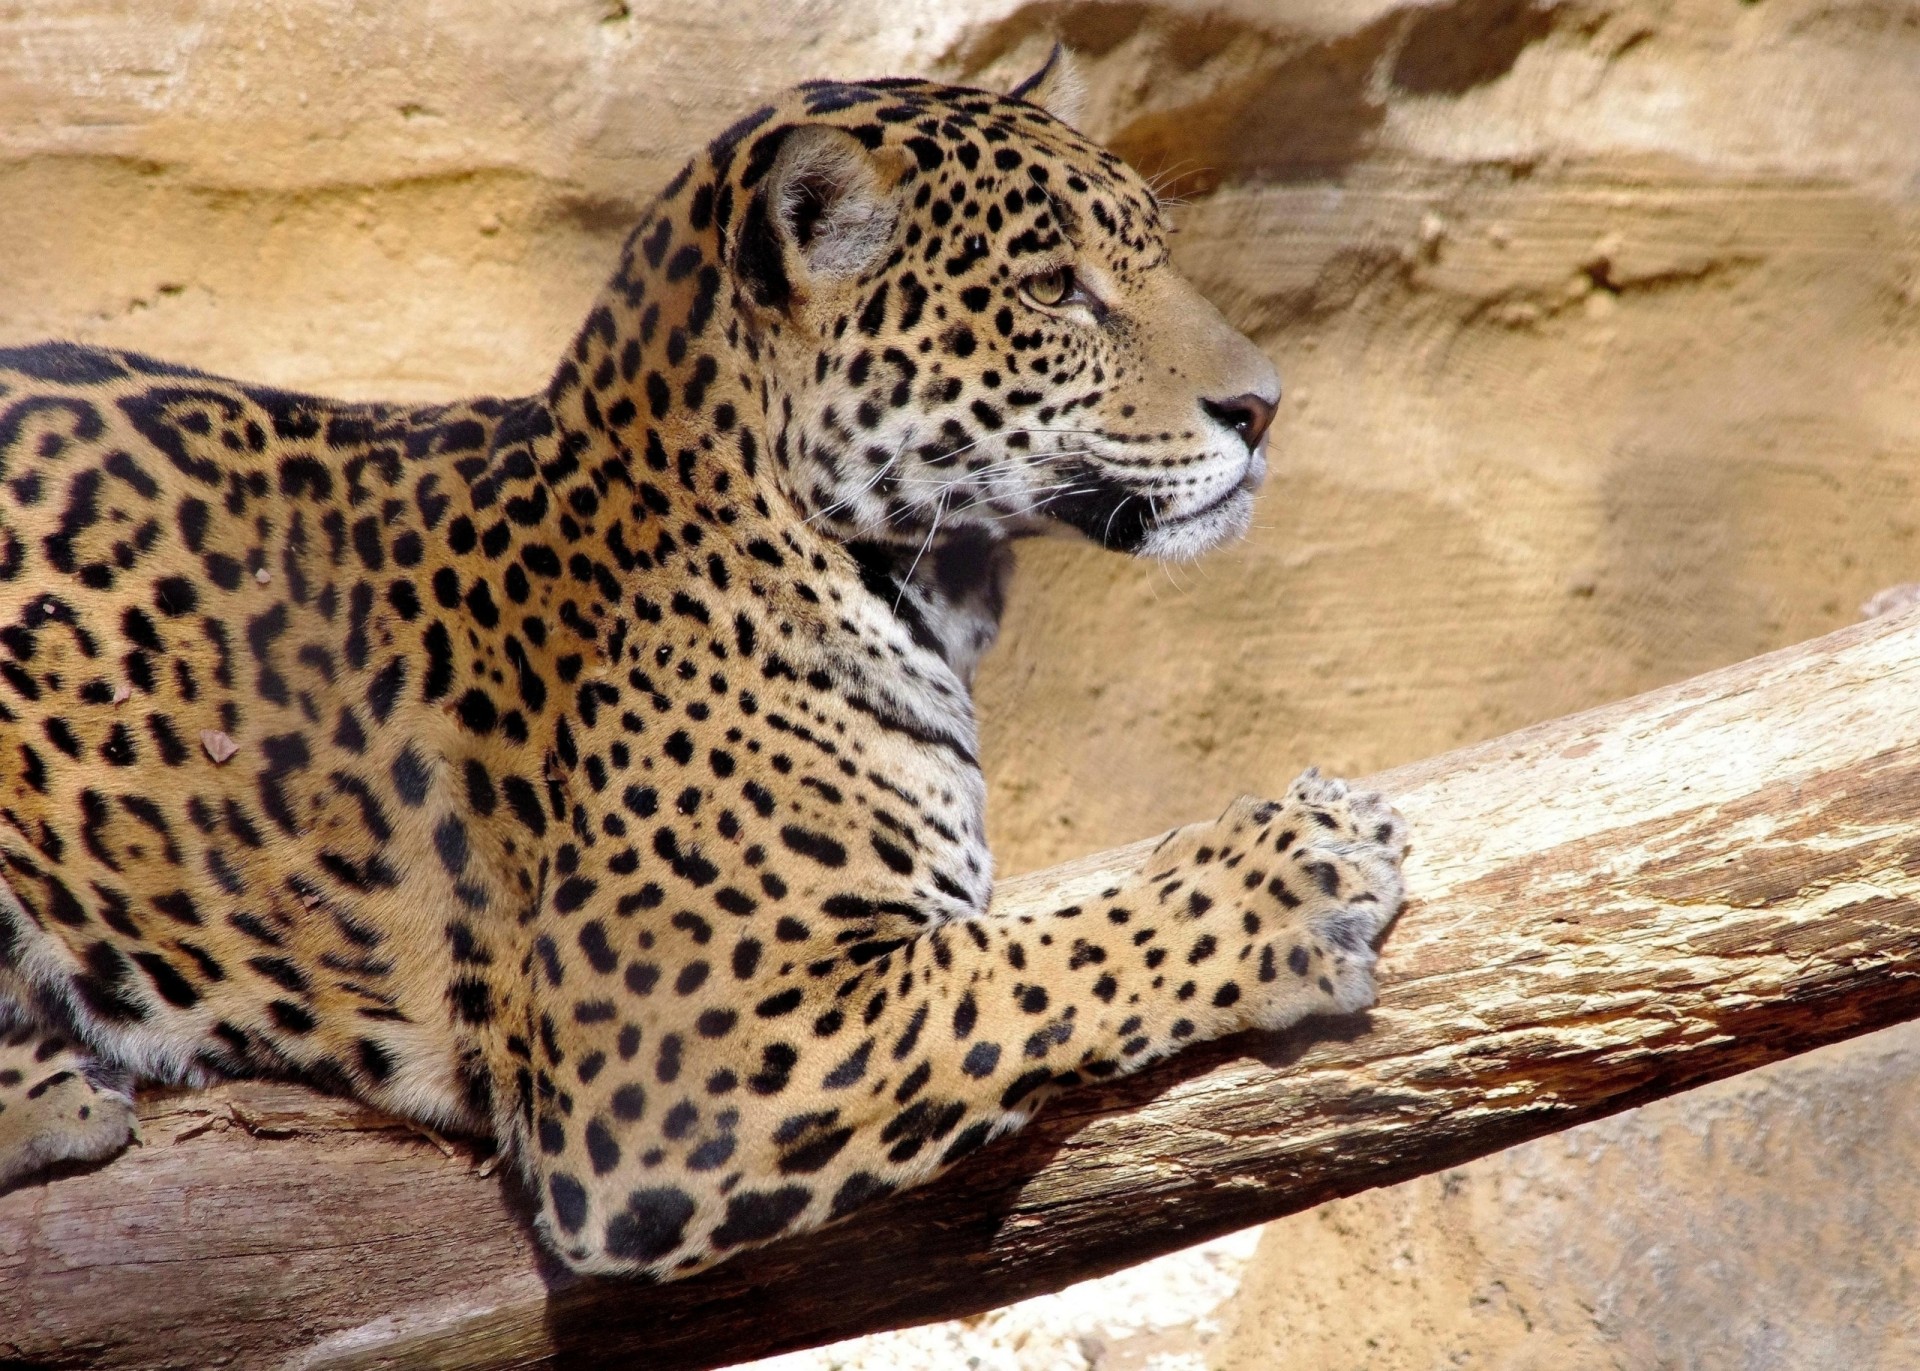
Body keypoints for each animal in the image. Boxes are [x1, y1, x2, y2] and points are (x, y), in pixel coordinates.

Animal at [0, 48, 1409, 1279]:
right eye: (1053, 289)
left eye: (1151, 252)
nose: (1265, 406)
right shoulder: (671, 1063)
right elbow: (1028, 964)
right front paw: (1294, 870)